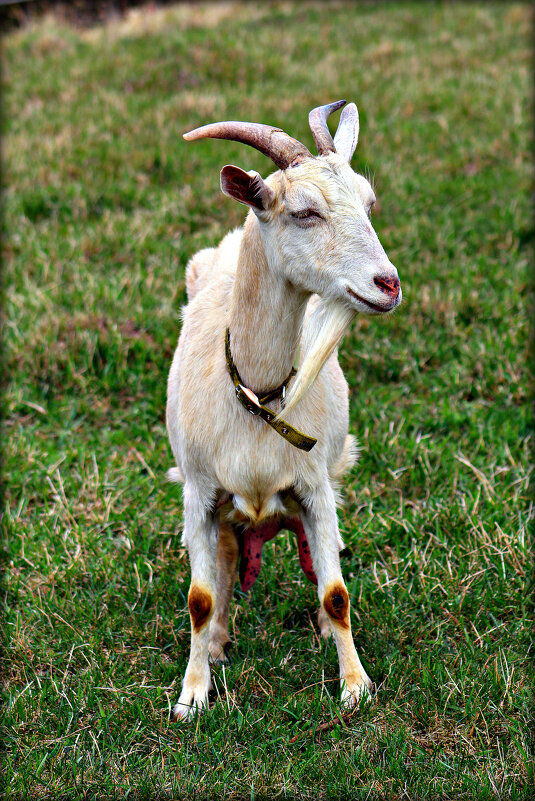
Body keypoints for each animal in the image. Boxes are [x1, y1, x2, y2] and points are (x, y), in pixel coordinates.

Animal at [168, 98, 402, 720]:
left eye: (368, 202)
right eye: (304, 212)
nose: (388, 284)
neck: (257, 395)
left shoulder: (316, 483)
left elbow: (337, 592)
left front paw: (354, 685)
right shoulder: (199, 488)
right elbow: (200, 598)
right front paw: (192, 694)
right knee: (226, 558)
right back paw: (219, 639)